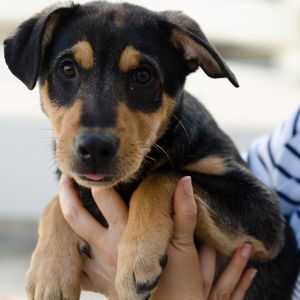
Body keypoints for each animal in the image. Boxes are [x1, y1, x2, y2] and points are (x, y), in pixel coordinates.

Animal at [2, 1, 300, 298]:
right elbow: (57, 202)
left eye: (143, 76)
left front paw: (138, 258)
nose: (95, 148)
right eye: (67, 69)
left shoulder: (267, 217)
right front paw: (50, 272)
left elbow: (163, 176)